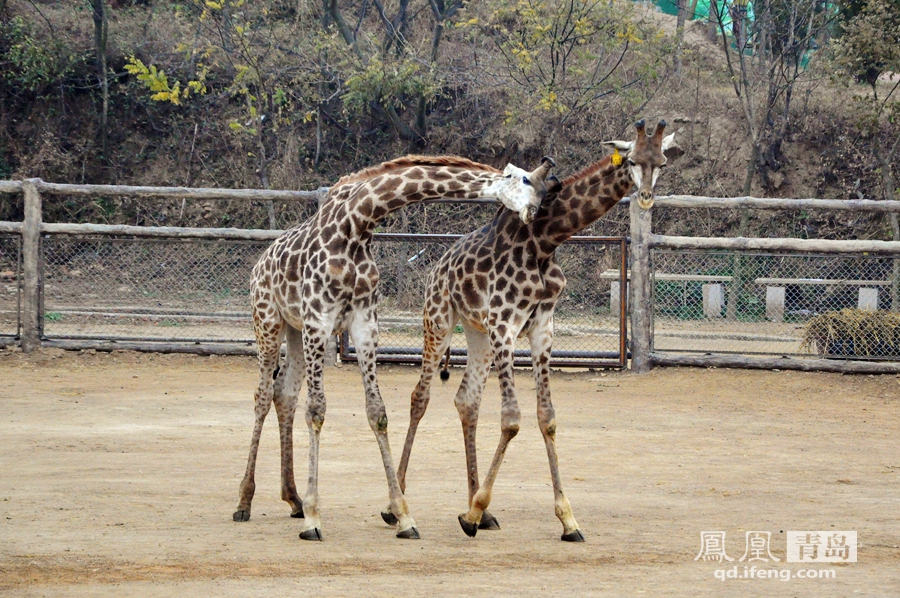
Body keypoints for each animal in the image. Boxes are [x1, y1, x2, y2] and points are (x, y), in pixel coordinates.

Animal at [232, 154, 556, 544]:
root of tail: (259, 264)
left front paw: (403, 516)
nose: (535, 211)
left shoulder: (364, 323)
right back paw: (245, 502)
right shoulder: (319, 321)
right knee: (263, 396)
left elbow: (377, 412)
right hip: (269, 322)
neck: (356, 223)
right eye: (523, 180)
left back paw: (292, 498)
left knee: (284, 395)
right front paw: (314, 517)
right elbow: (317, 410)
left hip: (294, 332)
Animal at [394, 122, 684, 544]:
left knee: (466, 401)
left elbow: (546, 416)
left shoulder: (541, 328)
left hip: (476, 333)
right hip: (439, 319)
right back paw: (397, 506)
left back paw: (480, 508)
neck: (545, 242)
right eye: (630, 160)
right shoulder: (504, 324)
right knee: (420, 396)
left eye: (661, 161)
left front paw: (567, 520)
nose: (645, 197)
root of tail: (437, 267)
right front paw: (473, 514)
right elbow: (512, 420)